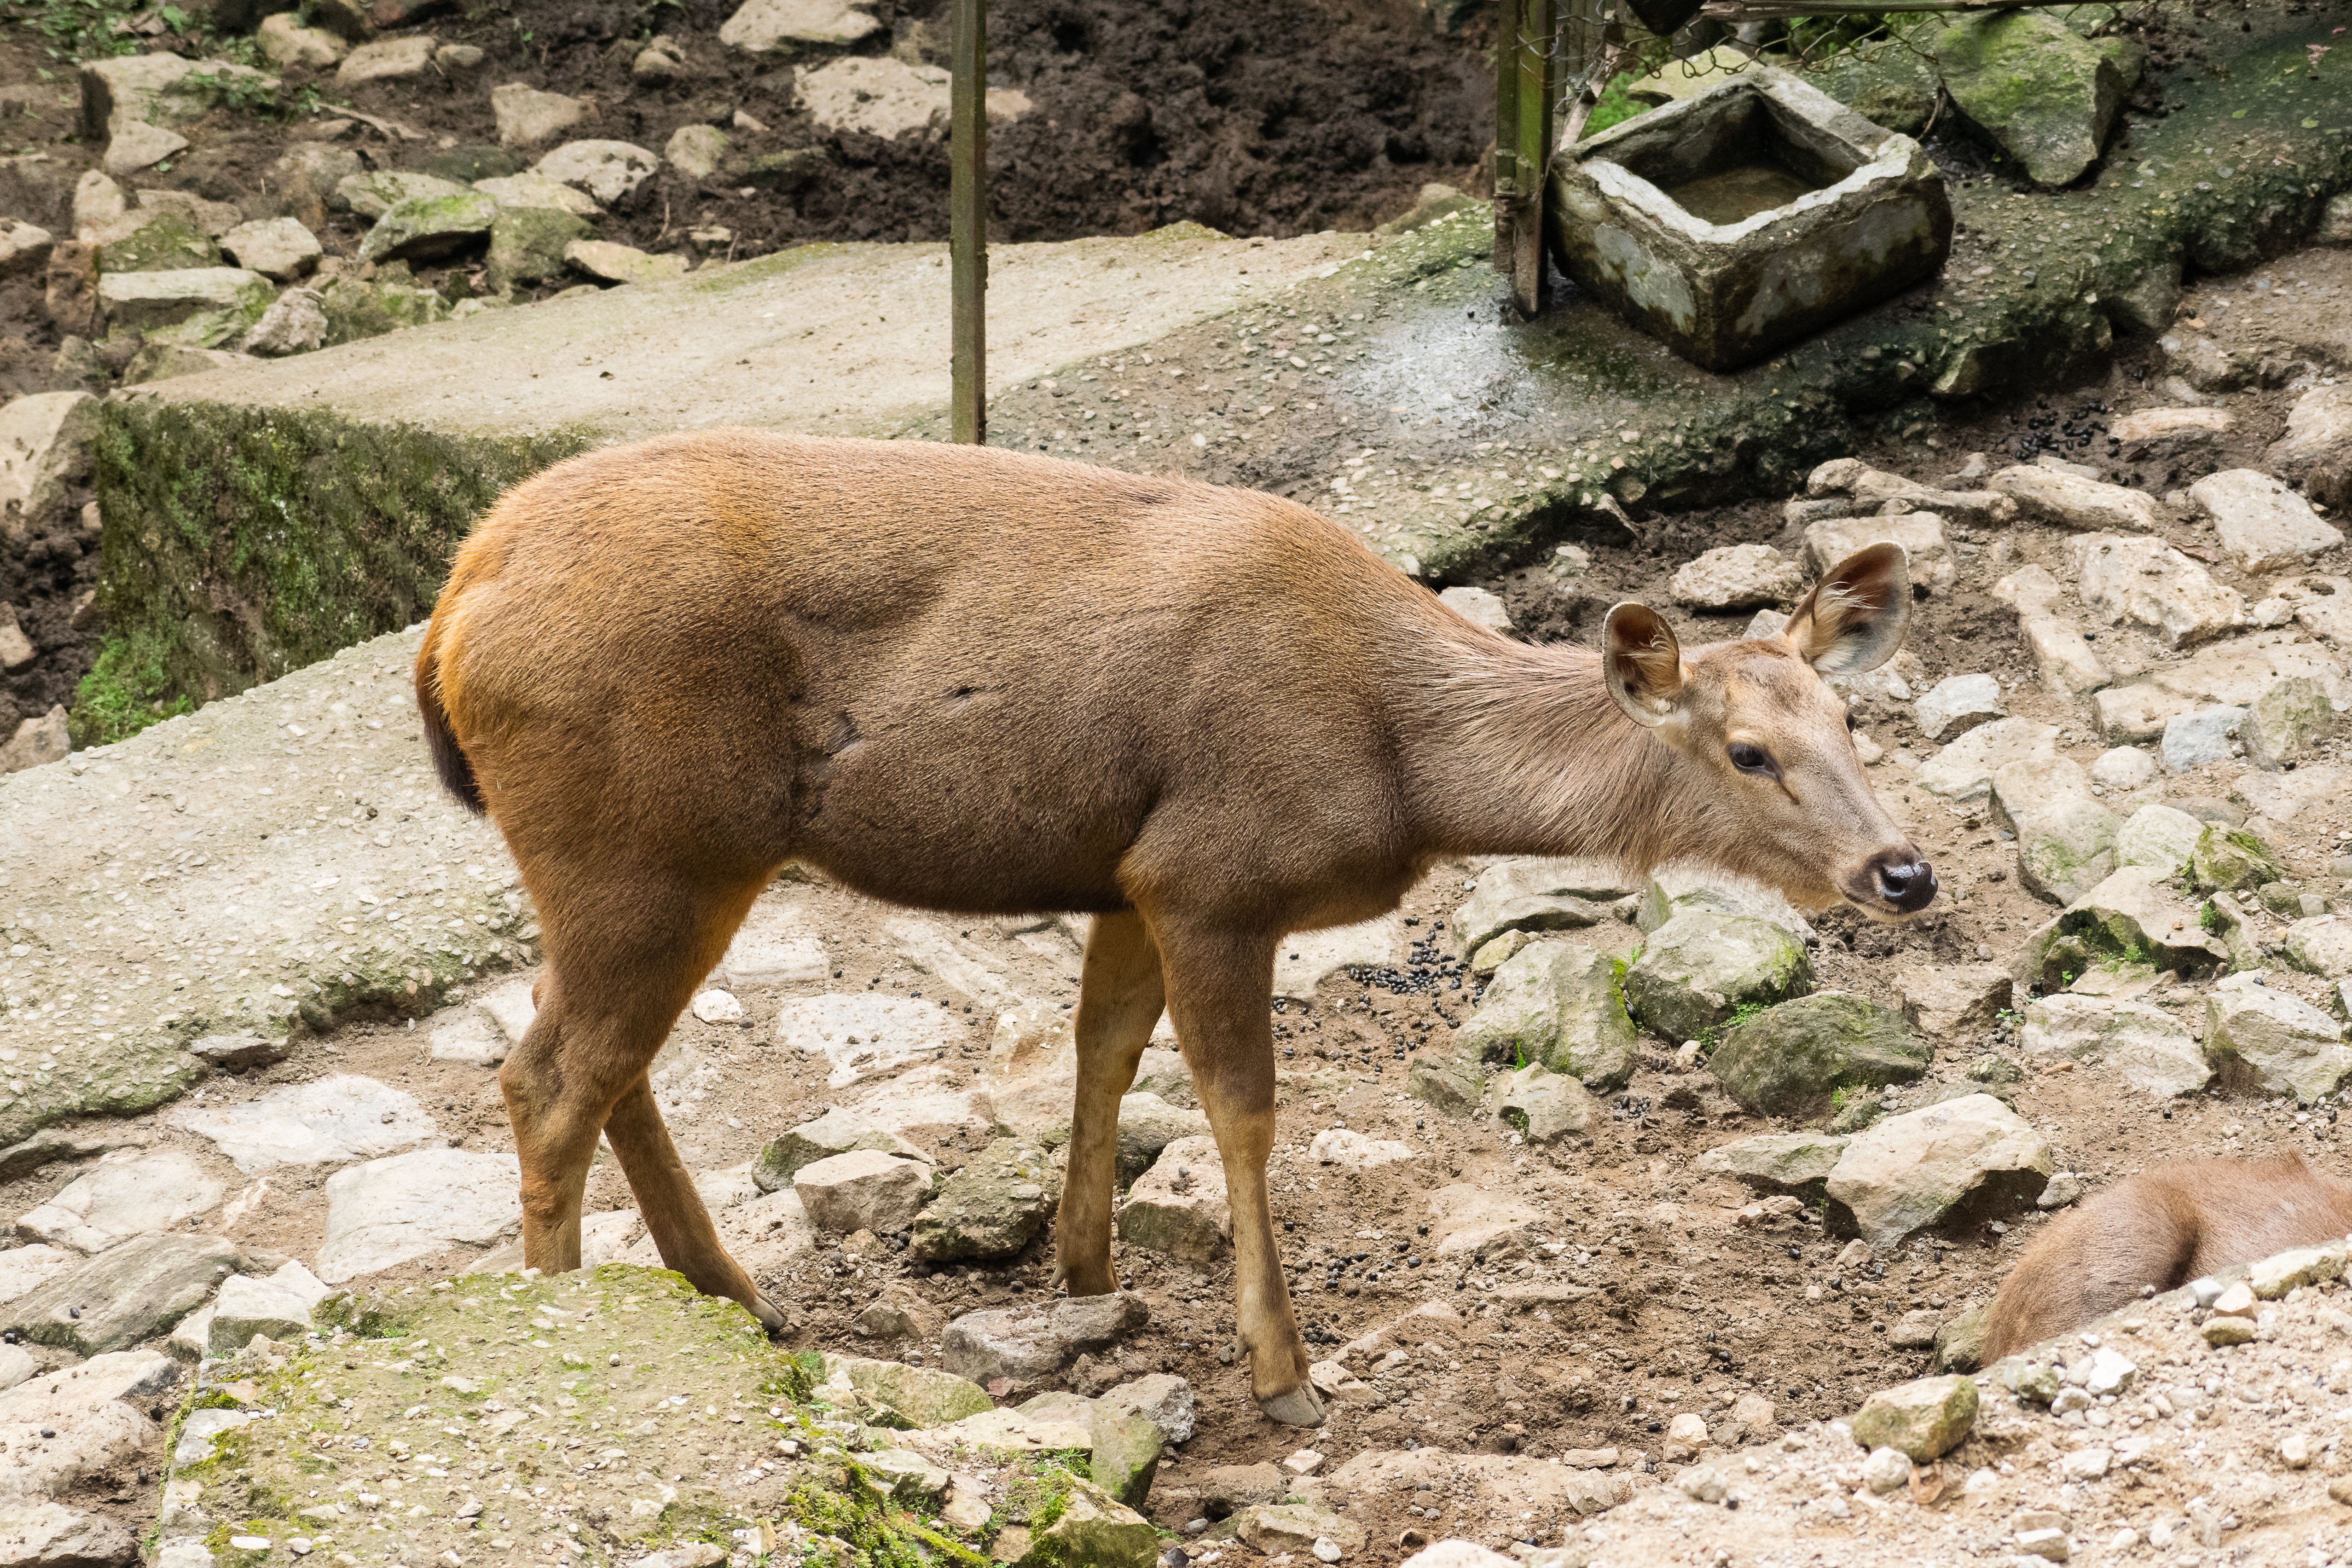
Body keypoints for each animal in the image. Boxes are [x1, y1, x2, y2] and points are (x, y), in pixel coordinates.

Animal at [412, 429, 1935, 1427]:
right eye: (1745, 751)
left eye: (1848, 717)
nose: (1903, 869)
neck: (1399, 760)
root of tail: (450, 607)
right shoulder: (1212, 869)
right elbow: (1239, 1105)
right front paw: (1281, 1365)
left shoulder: (1128, 870)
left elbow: (1103, 1047)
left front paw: (1082, 1267)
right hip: (642, 839)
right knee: (550, 1074)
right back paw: (575, 1331)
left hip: (655, 860)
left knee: (606, 1061)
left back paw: (732, 1293)